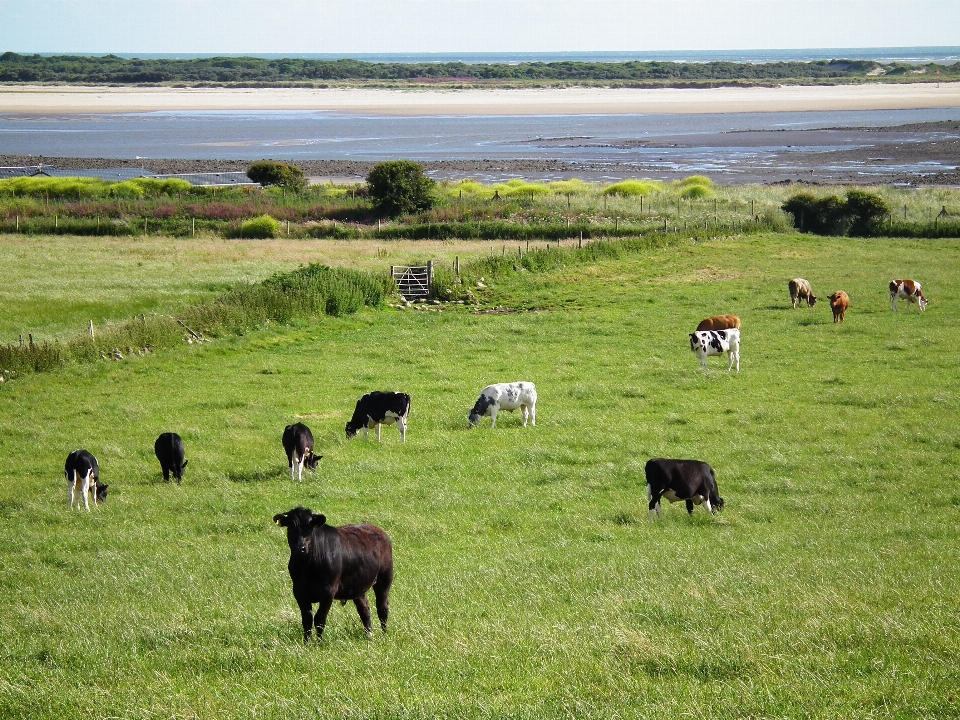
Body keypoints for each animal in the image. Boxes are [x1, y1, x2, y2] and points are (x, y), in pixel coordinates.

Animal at [272, 506, 392, 640]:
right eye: (291, 527)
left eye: (309, 527)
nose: (300, 548)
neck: (307, 567)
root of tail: (378, 530)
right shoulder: (299, 592)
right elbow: (307, 619)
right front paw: (307, 642)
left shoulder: (328, 592)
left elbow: (319, 620)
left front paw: (319, 642)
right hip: (358, 586)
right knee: (364, 609)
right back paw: (369, 635)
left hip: (384, 579)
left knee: (382, 608)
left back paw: (384, 634)